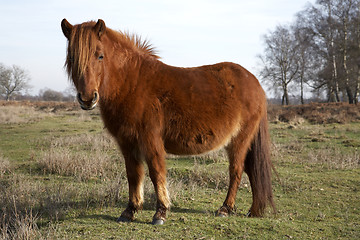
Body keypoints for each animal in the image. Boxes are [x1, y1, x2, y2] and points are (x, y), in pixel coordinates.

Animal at [61, 18, 276, 225]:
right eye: (71, 57)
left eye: (100, 56)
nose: (87, 98)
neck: (132, 84)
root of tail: (255, 83)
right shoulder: (127, 142)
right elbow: (133, 174)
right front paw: (130, 211)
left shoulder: (150, 139)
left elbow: (156, 172)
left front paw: (160, 212)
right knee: (252, 171)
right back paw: (253, 210)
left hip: (239, 140)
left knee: (237, 171)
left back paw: (225, 209)